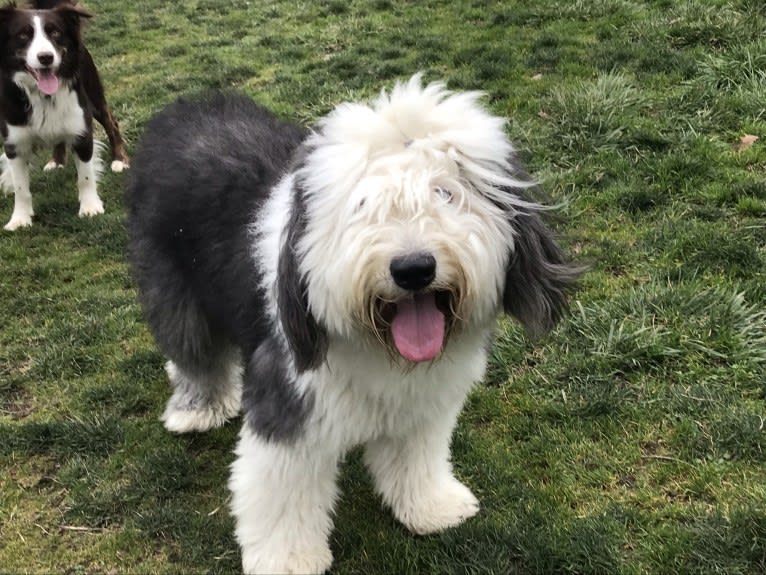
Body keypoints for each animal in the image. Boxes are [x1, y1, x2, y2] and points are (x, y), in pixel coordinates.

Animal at [0, 2, 129, 232]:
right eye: (23, 34)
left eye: (55, 32)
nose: (46, 57)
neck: (42, 96)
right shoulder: (14, 143)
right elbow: (20, 187)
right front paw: (20, 219)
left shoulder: (82, 132)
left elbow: (85, 177)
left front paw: (90, 207)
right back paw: (56, 161)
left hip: (95, 98)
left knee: (112, 124)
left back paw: (119, 160)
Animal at [127, 77, 584, 575]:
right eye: (363, 204)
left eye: (445, 193)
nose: (413, 268)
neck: (380, 348)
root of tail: (183, 110)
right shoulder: (291, 405)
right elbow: (283, 495)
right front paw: (287, 559)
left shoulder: (422, 407)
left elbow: (416, 459)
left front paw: (432, 507)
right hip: (174, 288)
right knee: (194, 352)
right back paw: (196, 409)